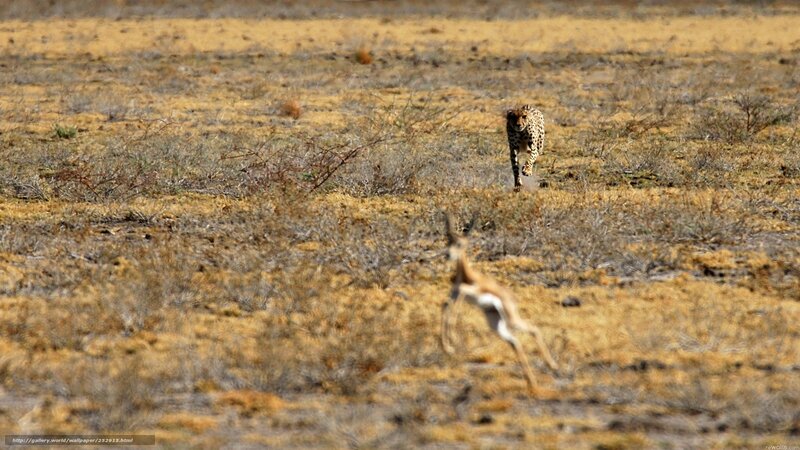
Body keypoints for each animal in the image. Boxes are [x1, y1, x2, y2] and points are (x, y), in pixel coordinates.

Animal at [441, 214, 559, 392]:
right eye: (449, 241)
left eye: (460, 244)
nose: (448, 255)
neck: (466, 275)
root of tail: (511, 298)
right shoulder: (454, 294)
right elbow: (445, 306)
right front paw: (447, 347)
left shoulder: (467, 291)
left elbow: (454, 306)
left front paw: (452, 342)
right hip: (496, 324)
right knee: (515, 342)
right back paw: (531, 383)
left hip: (511, 320)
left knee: (533, 329)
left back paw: (551, 366)